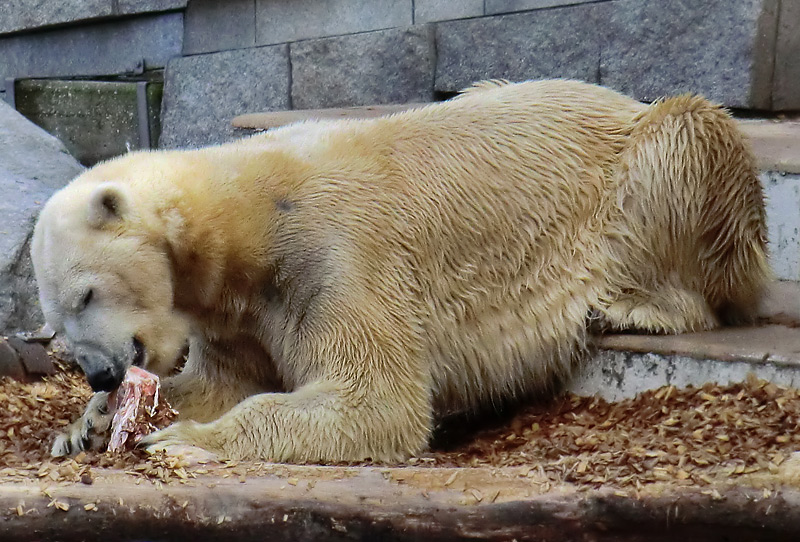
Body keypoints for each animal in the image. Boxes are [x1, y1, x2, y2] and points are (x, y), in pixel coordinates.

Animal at [31, 81, 768, 464]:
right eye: (55, 319)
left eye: (87, 292)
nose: (100, 372)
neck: (244, 221)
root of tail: (618, 97)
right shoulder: (236, 307)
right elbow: (222, 381)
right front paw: (84, 426)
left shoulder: (333, 256)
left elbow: (373, 395)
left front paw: (185, 441)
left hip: (653, 172)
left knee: (686, 132)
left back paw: (638, 305)